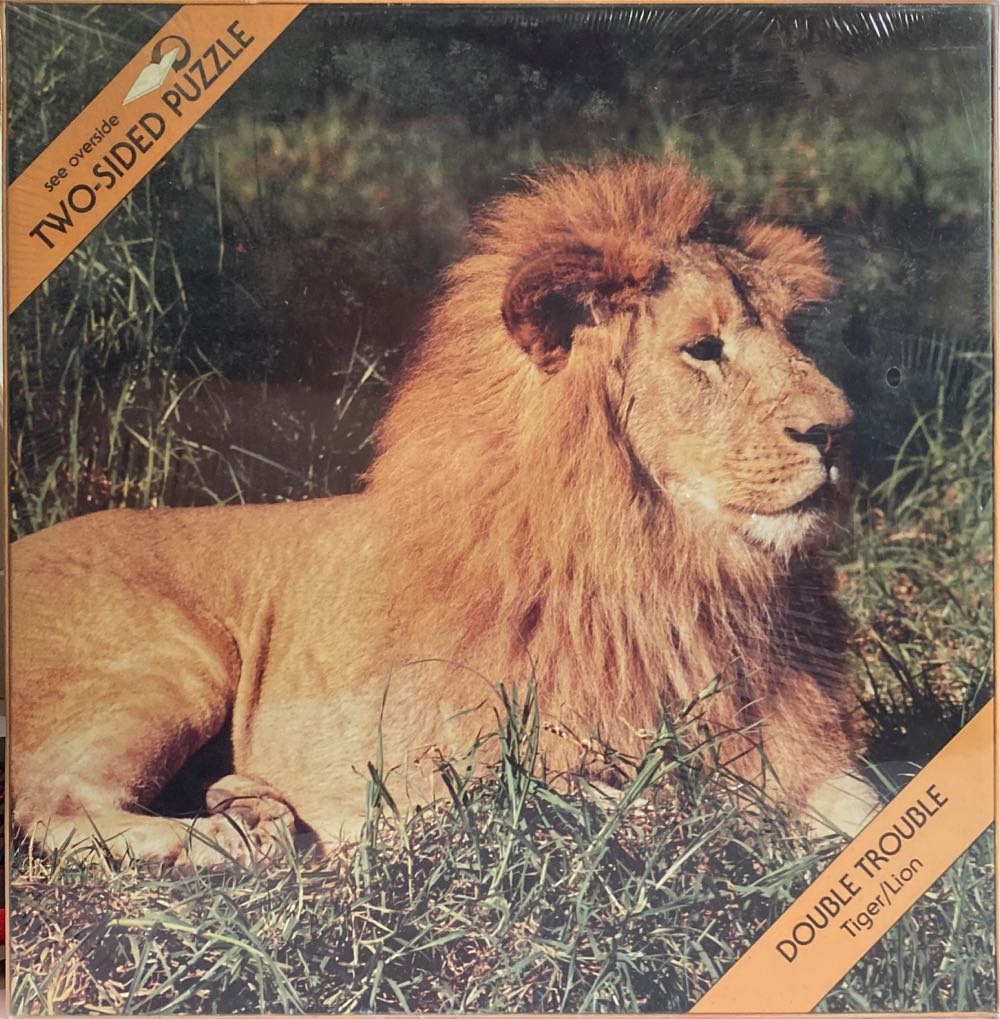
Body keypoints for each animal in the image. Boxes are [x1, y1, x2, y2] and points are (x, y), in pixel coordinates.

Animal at [10, 159, 879, 868]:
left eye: (794, 336)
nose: (841, 428)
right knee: (47, 803)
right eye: (704, 348)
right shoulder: (478, 774)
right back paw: (227, 840)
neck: (675, 574)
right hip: (173, 666)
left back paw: (251, 805)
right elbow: (666, 806)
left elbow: (860, 799)